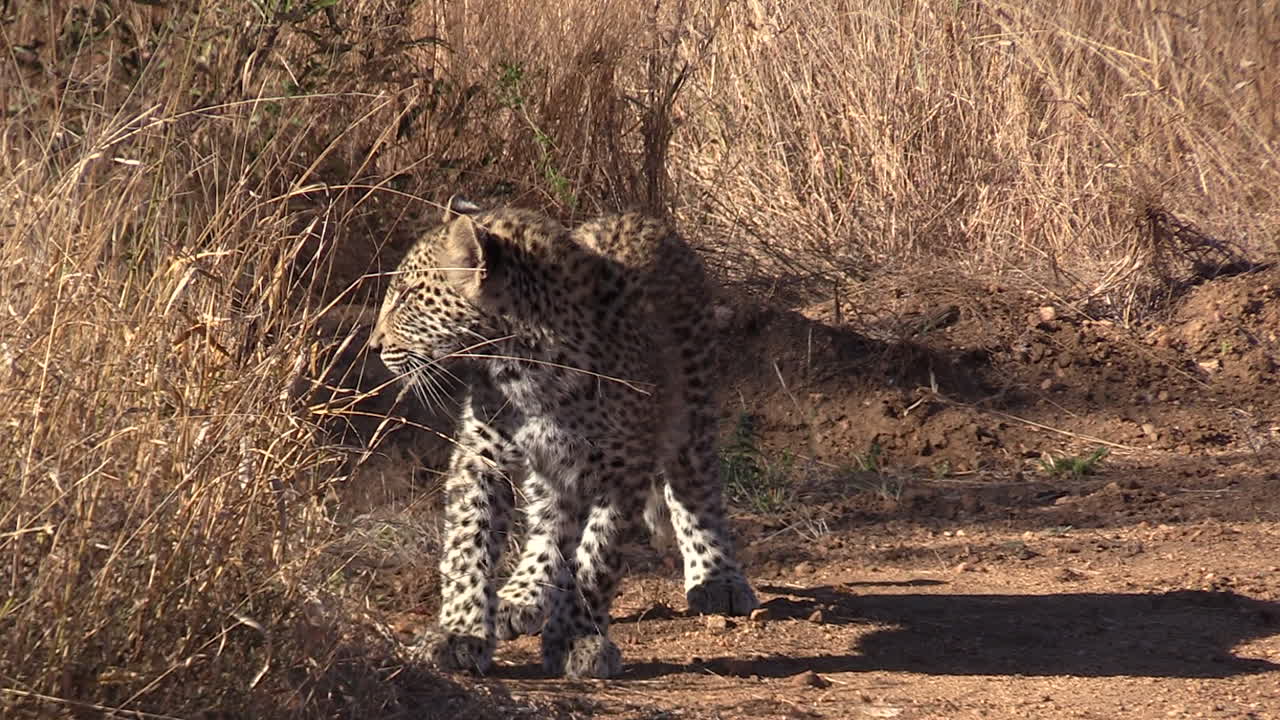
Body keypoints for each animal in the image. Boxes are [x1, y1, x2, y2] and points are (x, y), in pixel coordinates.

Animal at [368, 199, 758, 679]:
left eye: (406, 296)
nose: (373, 345)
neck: (526, 367)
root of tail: (643, 218)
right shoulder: (480, 458)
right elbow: (467, 546)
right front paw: (459, 634)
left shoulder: (622, 472)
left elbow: (597, 561)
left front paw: (577, 639)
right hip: (551, 466)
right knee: (549, 523)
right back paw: (524, 593)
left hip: (694, 408)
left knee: (696, 490)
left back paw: (716, 577)